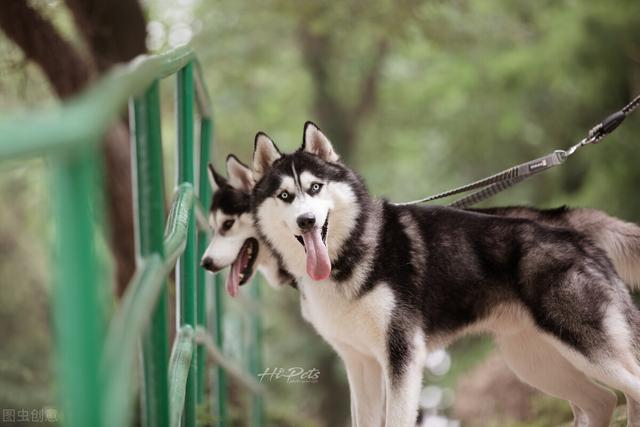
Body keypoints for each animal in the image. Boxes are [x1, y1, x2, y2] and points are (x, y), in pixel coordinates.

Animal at [251, 122, 640, 427]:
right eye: (285, 195)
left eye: (315, 187)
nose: (307, 221)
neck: (352, 249)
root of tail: (571, 229)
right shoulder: (360, 363)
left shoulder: (403, 355)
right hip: (534, 361)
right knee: (604, 400)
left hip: (582, 347)